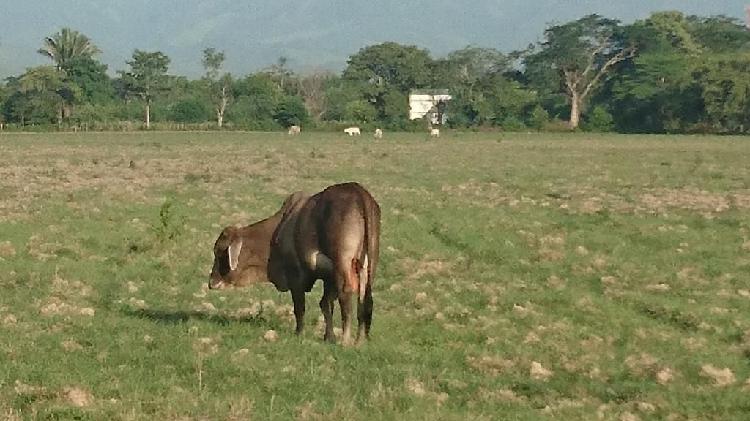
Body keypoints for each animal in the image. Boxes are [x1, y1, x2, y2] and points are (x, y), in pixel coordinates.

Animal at [207, 182, 378, 342]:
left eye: (220, 251)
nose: (211, 282)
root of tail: (358, 192)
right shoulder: (328, 278)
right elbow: (325, 304)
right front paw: (328, 337)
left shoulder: (296, 277)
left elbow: (300, 308)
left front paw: (299, 333)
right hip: (366, 265)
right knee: (365, 297)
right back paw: (360, 339)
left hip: (343, 263)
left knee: (347, 293)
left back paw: (346, 340)